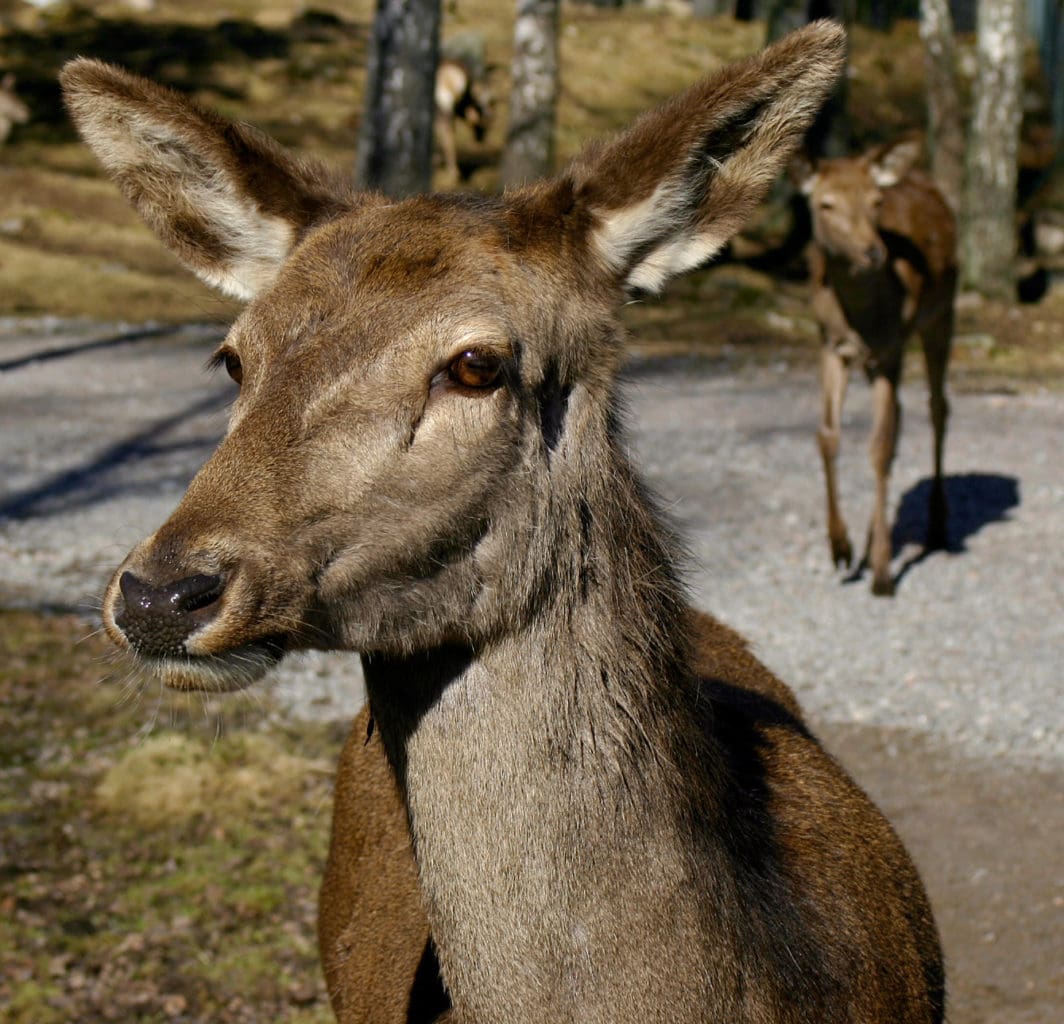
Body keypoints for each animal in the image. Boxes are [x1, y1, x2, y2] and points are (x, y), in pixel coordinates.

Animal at [791, 139, 957, 596]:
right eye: (825, 204)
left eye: (875, 202)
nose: (873, 251)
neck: (862, 318)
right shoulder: (829, 345)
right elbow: (828, 436)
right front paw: (840, 548)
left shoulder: (891, 349)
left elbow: (880, 446)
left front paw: (882, 571)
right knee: (900, 419)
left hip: (943, 313)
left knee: (937, 407)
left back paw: (937, 526)